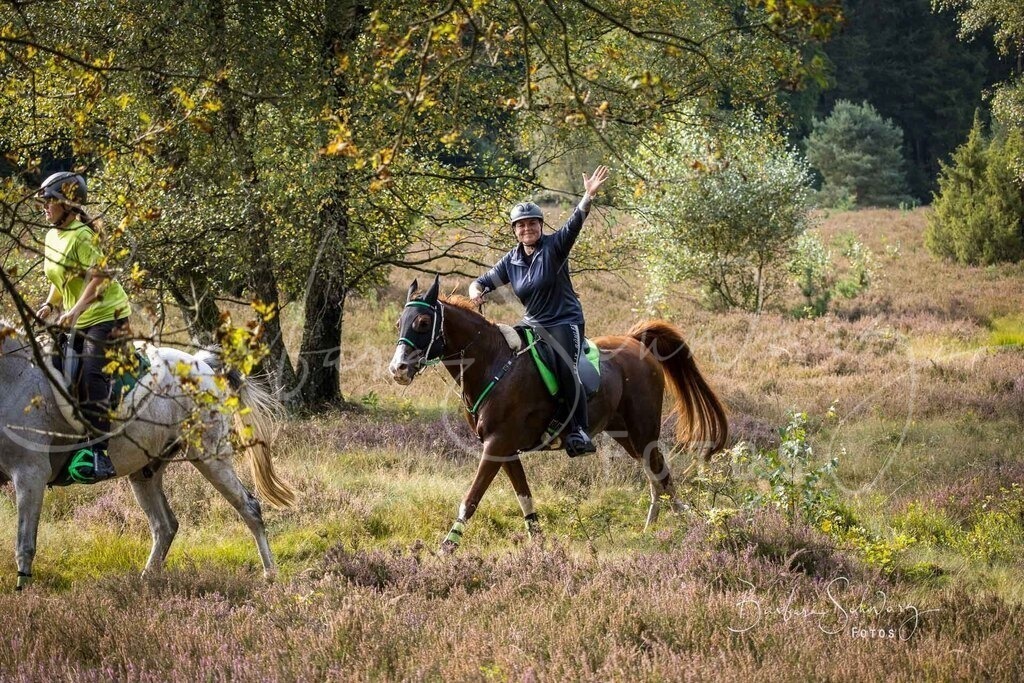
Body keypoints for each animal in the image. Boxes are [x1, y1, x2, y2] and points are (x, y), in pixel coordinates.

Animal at [0, 319, 296, 589]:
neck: (12, 378)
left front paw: (23, 595)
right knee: (165, 525)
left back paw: (270, 574)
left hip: (209, 456)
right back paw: (146, 580)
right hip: (145, 471)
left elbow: (24, 544)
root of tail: (203, 365)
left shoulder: (30, 475)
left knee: (249, 507)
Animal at [388, 276, 728, 552]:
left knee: (661, 473)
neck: (493, 363)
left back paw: (686, 525)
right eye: (398, 324)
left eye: (422, 323)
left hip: (642, 429)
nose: (398, 369)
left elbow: (471, 497)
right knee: (653, 473)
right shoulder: (504, 449)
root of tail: (635, 342)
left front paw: (447, 547)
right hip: (624, 433)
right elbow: (524, 496)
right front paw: (538, 544)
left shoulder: (497, 444)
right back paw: (653, 527)